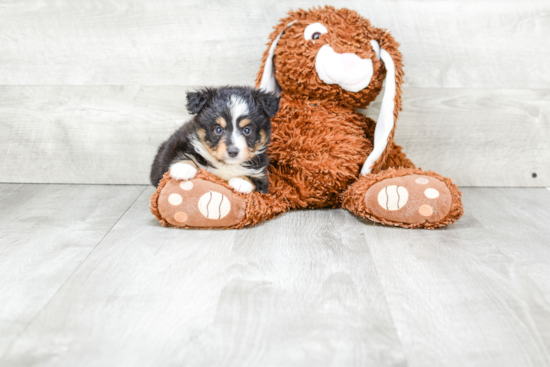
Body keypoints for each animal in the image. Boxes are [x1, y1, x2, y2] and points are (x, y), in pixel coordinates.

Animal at [151, 87, 280, 194]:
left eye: (247, 130)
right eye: (218, 129)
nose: (233, 152)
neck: (225, 164)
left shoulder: (262, 173)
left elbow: (256, 177)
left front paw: (242, 182)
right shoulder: (183, 143)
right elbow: (185, 153)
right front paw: (183, 168)